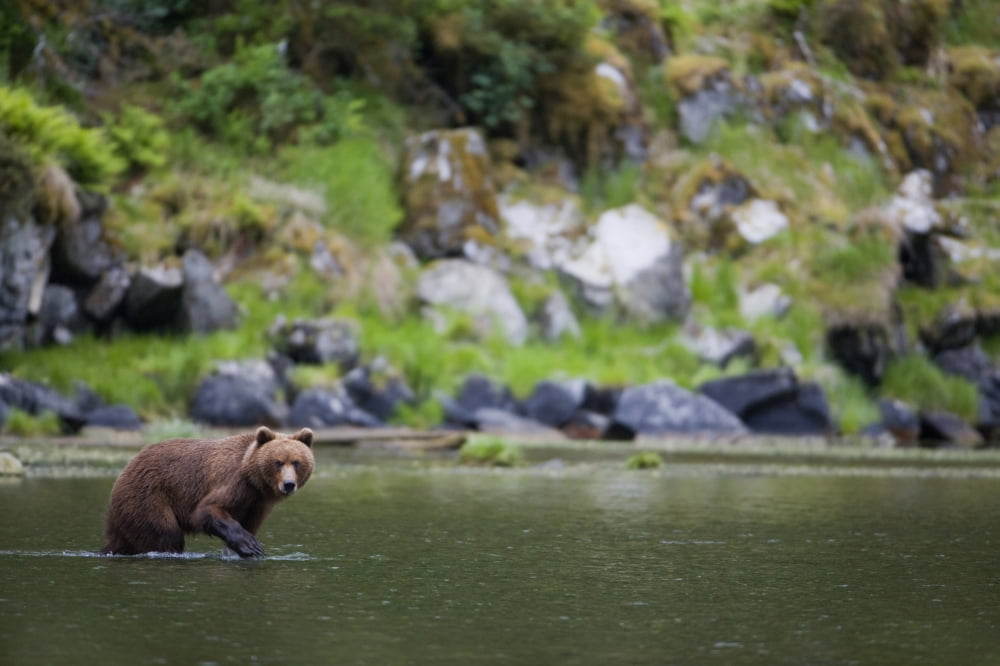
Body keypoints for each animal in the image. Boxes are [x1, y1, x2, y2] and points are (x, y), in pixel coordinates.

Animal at [101, 426, 314, 558]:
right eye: (278, 462)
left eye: (297, 462)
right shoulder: (234, 482)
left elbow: (250, 523)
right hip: (148, 496)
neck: (256, 482)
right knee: (166, 533)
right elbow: (208, 509)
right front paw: (250, 545)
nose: (288, 484)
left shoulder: (257, 503)